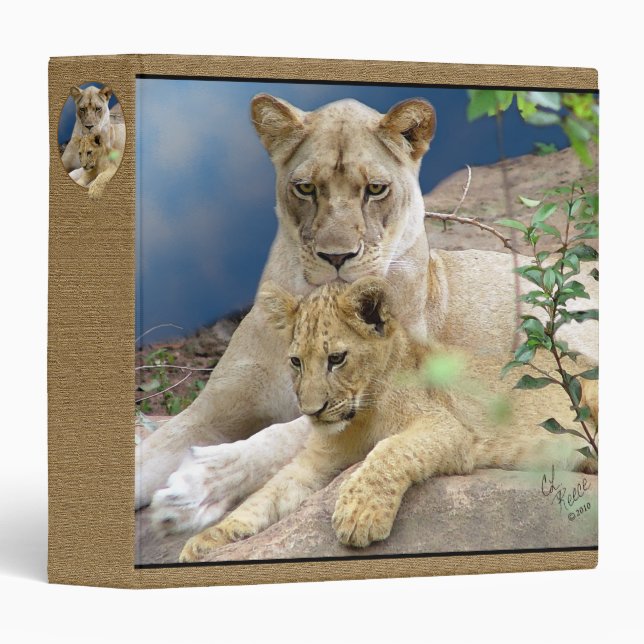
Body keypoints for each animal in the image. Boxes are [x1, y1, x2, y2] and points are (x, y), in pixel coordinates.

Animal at [137, 94, 598, 521]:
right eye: (306, 188)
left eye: (375, 189)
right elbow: (155, 449)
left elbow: (287, 434)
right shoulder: (214, 408)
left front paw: (199, 483)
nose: (337, 255)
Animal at [176, 277, 597, 562]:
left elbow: (389, 452)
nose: (311, 411)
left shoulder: (447, 428)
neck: (360, 417)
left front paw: (359, 515)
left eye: (336, 359)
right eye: (296, 361)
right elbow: (267, 494)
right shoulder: (316, 462)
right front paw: (208, 539)